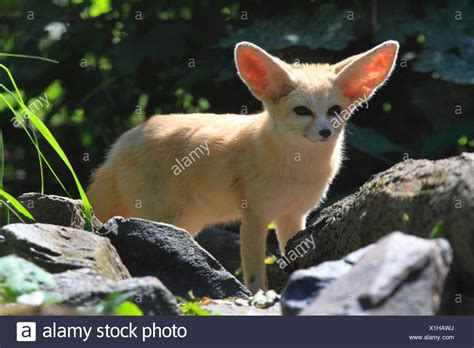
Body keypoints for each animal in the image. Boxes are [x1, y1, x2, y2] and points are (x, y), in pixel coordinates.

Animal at [87, 39, 398, 292]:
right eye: (302, 111)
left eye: (334, 111)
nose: (325, 132)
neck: (297, 169)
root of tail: (122, 142)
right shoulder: (255, 216)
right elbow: (255, 272)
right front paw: (258, 297)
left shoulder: (293, 216)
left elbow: (291, 258)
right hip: (162, 217)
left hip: (188, 222)